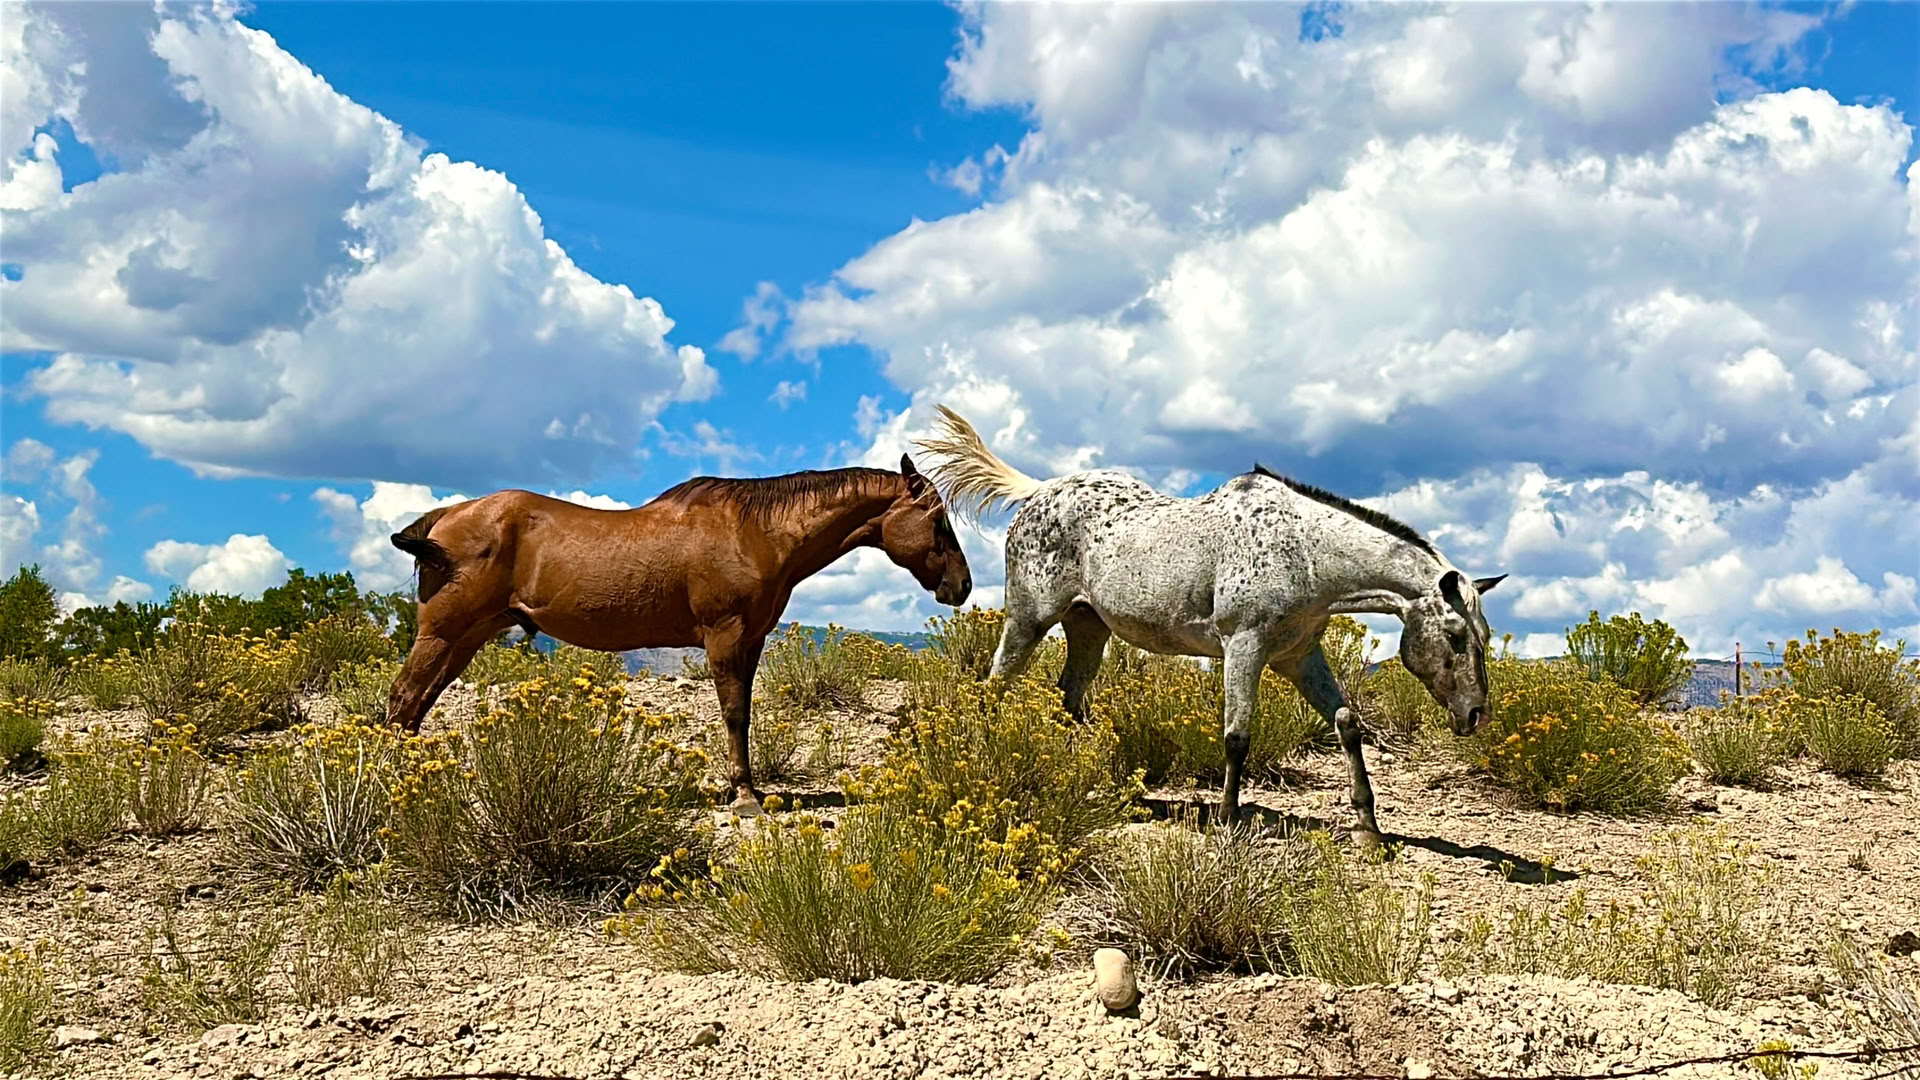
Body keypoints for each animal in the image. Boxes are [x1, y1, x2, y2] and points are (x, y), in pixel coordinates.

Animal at [383, 455, 972, 815]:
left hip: (467, 638)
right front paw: (744, 796)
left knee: (417, 704)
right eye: (939, 520)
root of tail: (447, 515)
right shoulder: (725, 635)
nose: (961, 585)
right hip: (443, 632)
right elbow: (734, 714)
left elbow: (743, 711)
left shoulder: (751, 641)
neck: (756, 532)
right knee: (403, 698)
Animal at [914, 405, 1503, 841]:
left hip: (1088, 628)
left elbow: (1346, 723)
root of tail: (1038, 491)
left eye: (1484, 637)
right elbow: (1237, 737)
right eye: (1455, 636)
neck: (1304, 552)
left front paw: (1369, 831)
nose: (1475, 714)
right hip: (1030, 619)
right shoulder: (1244, 649)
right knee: (995, 686)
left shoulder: (1298, 657)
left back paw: (1096, 784)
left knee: (1070, 701)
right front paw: (1226, 821)